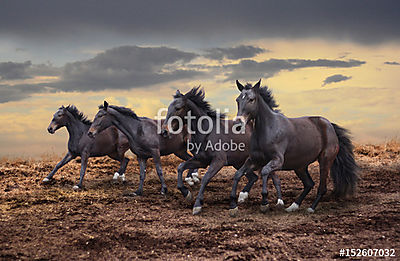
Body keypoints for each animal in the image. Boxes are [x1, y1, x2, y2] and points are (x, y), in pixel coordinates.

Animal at [161, 86, 282, 214]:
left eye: (178, 108)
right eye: (169, 107)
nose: (164, 131)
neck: (207, 132)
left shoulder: (218, 161)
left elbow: (205, 178)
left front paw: (197, 204)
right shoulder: (201, 160)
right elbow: (180, 167)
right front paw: (187, 194)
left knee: (275, 179)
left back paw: (279, 202)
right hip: (239, 163)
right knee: (253, 177)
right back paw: (242, 197)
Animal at [228, 78, 360, 215]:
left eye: (251, 99)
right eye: (238, 100)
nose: (238, 123)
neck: (268, 129)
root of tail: (329, 125)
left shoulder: (277, 161)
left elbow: (264, 172)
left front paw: (264, 203)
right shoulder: (254, 160)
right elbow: (238, 174)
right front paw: (234, 205)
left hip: (325, 161)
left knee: (321, 187)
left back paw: (311, 208)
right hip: (300, 166)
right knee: (309, 184)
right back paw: (293, 206)